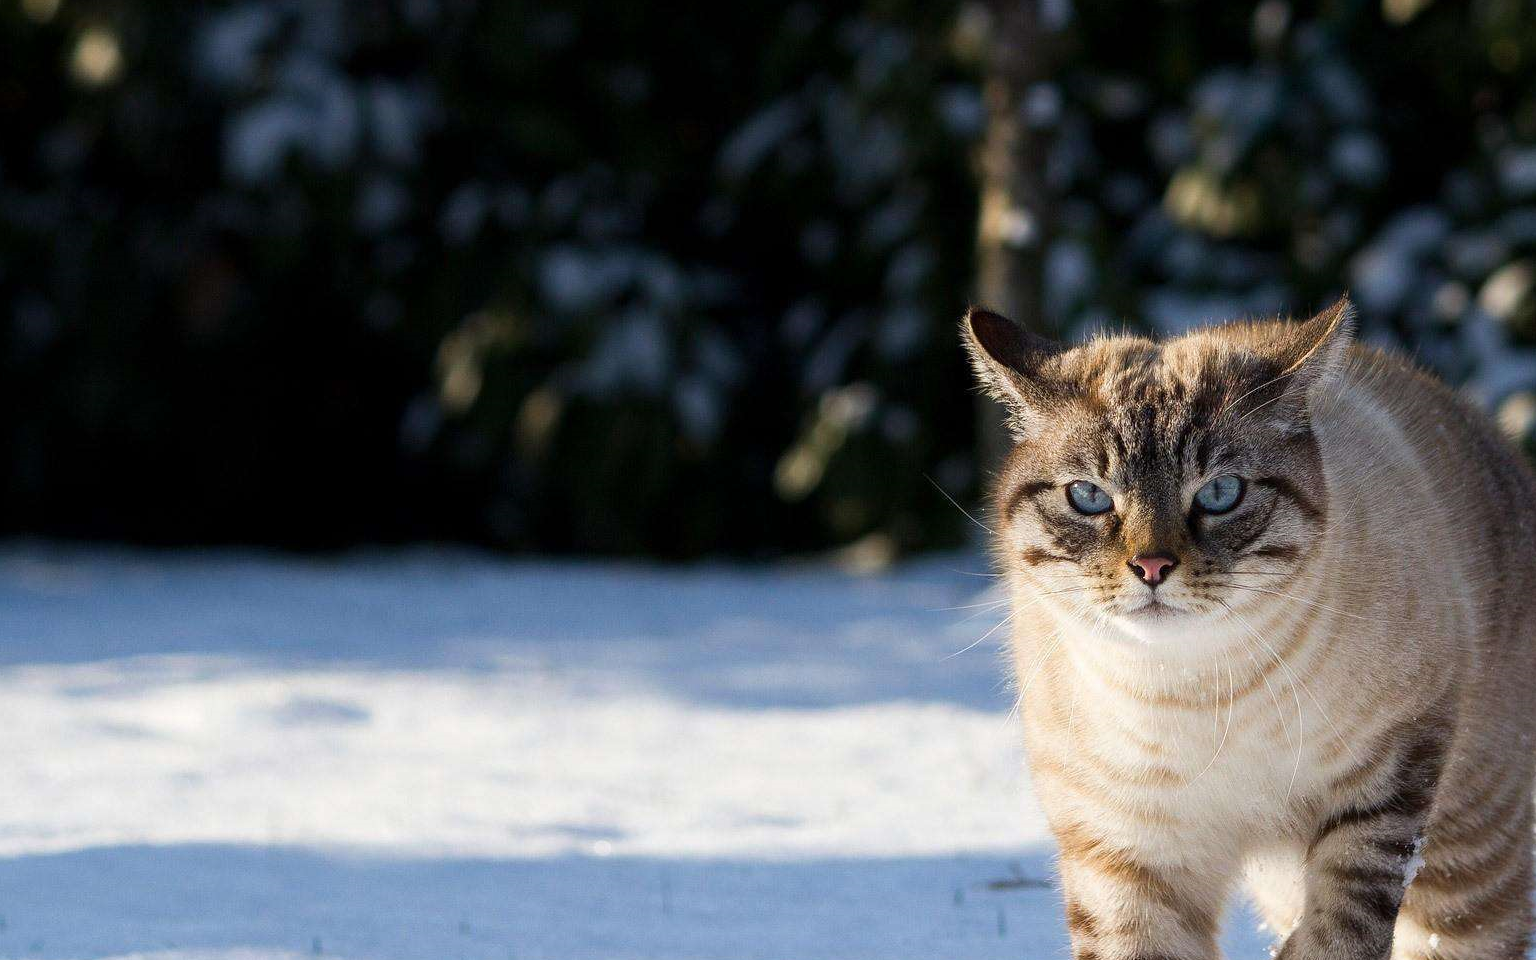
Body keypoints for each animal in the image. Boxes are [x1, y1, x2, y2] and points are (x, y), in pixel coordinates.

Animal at [958, 297, 1536, 958]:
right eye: (1089, 497)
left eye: (1220, 494)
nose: (1151, 566)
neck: (1195, 696)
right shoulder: (1127, 852)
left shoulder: (1388, 772)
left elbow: (1340, 931)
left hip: (1463, 877)